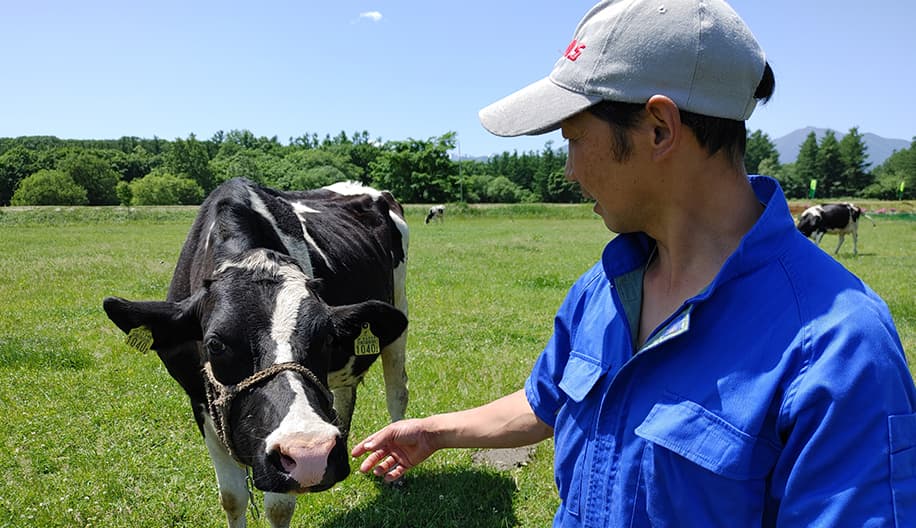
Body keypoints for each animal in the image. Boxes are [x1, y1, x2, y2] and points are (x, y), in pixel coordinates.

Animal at [101, 178, 412, 528]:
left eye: (326, 338)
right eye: (215, 344)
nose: (311, 452)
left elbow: (278, 508)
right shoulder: (198, 400)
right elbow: (232, 497)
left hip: (399, 310)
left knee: (397, 393)